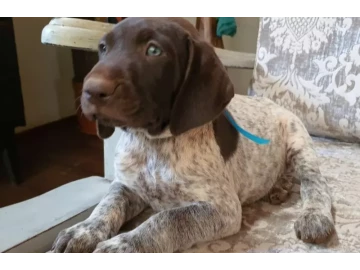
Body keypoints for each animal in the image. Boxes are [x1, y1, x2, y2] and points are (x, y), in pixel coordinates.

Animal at [50, 16, 334, 253]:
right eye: (103, 48)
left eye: (154, 50)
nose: (90, 90)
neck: (153, 144)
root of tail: (273, 102)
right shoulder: (127, 185)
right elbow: (107, 203)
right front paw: (84, 230)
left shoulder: (223, 209)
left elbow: (166, 219)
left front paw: (124, 245)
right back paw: (279, 186)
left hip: (300, 145)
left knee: (315, 184)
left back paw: (314, 216)